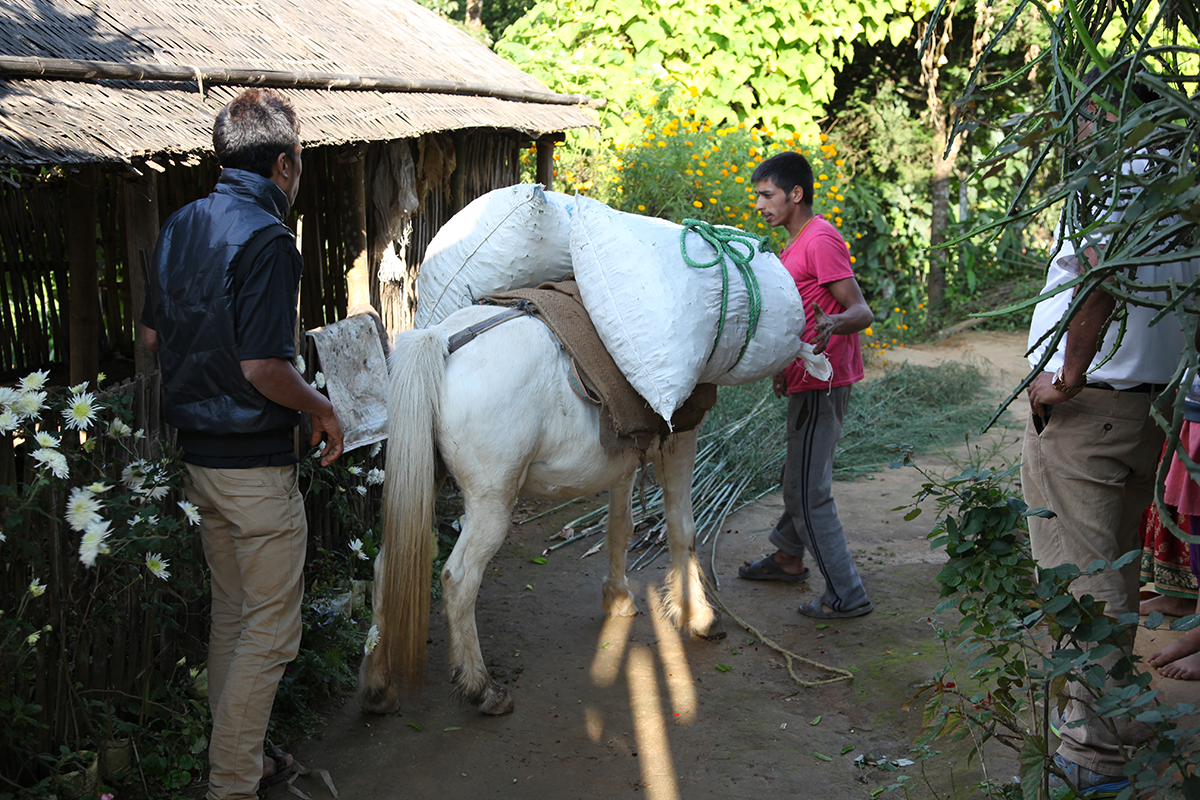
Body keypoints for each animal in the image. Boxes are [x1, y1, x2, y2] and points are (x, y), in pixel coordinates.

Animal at [355, 303, 720, 714]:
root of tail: (442, 339)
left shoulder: (625, 460)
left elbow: (620, 527)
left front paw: (618, 597)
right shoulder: (680, 442)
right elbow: (682, 528)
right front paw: (698, 614)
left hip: (426, 481)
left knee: (384, 567)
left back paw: (378, 687)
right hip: (491, 503)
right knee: (459, 579)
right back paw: (483, 688)